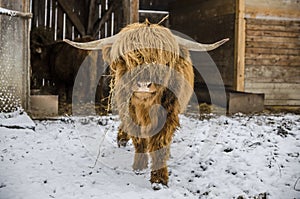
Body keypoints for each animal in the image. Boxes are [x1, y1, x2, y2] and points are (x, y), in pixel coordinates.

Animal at [65, 20, 229, 190]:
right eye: (128, 59)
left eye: (161, 60)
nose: (143, 85)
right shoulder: (130, 111)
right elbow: (139, 140)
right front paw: (139, 167)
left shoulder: (168, 114)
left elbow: (159, 144)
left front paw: (159, 179)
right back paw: (121, 139)